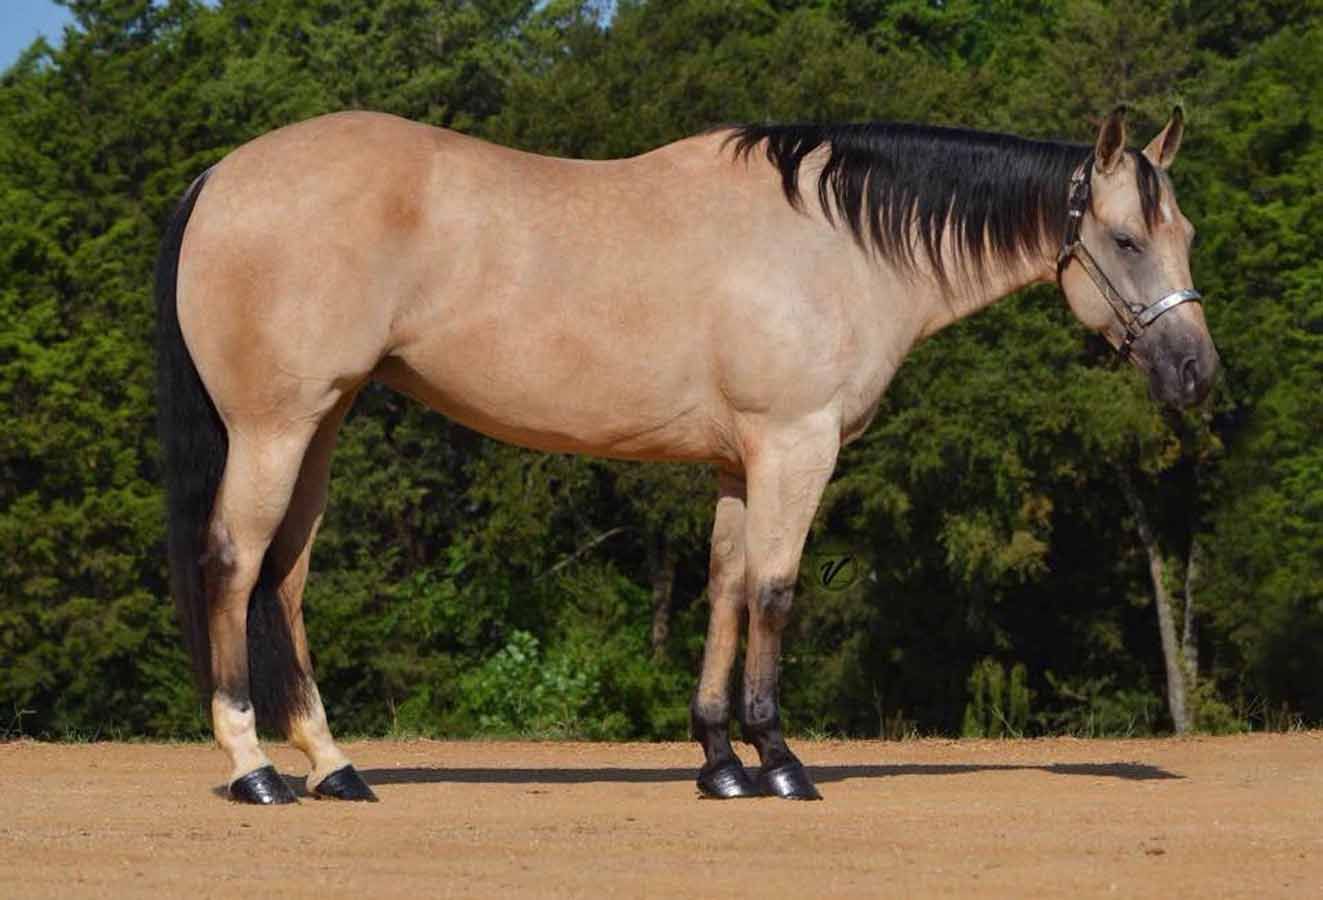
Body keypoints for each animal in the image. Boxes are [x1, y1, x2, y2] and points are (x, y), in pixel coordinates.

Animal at [156, 104, 1217, 804]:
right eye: (1126, 239)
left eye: (1185, 232)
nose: (1195, 372)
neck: (834, 244)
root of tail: (221, 178)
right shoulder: (795, 444)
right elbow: (776, 594)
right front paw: (779, 762)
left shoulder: (738, 462)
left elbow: (725, 592)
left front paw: (718, 764)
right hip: (275, 427)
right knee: (233, 564)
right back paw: (254, 769)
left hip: (322, 423)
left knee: (285, 580)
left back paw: (333, 766)